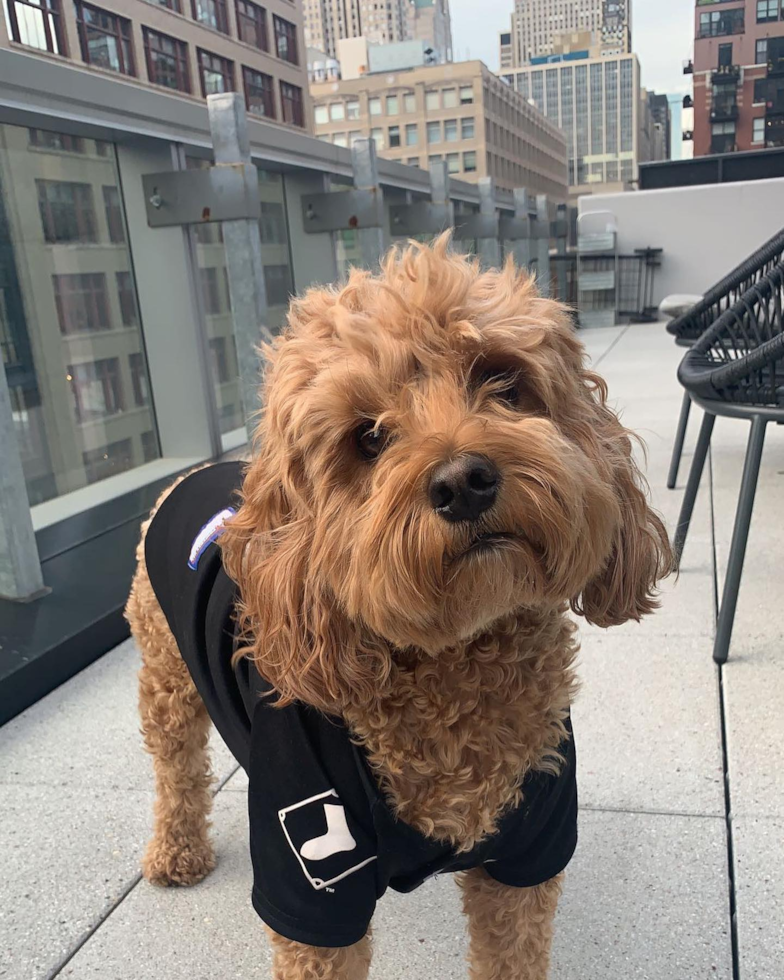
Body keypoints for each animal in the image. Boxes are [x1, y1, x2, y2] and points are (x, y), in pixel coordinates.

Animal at [125, 234, 672, 976]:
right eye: (368, 437)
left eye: (502, 380)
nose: (463, 482)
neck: (456, 668)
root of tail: (192, 473)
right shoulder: (312, 874)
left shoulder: (530, 847)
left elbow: (512, 949)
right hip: (167, 681)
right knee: (176, 769)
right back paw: (176, 853)